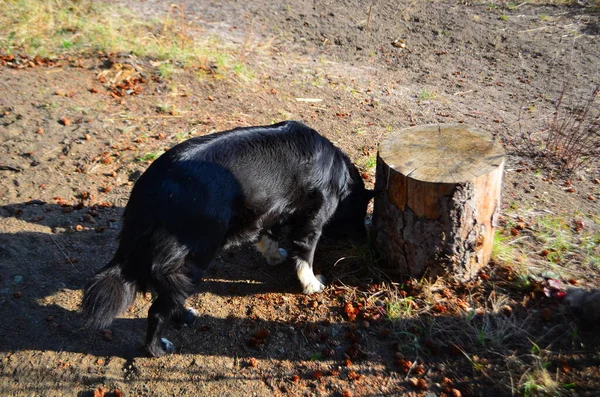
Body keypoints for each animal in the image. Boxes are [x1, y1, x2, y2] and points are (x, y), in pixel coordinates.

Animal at [82, 120, 372, 356]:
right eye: (360, 212)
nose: (364, 240)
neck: (339, 174)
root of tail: (148, 192)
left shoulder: (271, 207)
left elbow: (268, 234)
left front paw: (273, 255)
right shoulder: (311, 221)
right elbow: (306, 256)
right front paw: (312, 284)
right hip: (194, 260)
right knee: (157, 310)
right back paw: (157, 348)